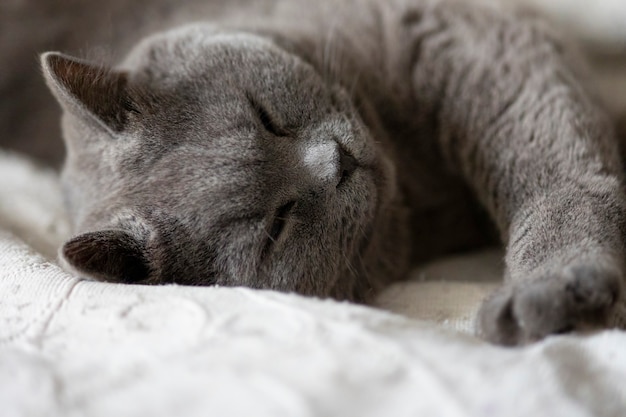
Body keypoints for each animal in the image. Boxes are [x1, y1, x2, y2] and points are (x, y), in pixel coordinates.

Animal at [6, 0, 624, 344]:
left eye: (264, 114)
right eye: (276, 226)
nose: (336, 161)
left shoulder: (466, 33)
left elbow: (553, 171)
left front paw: (553, 286)